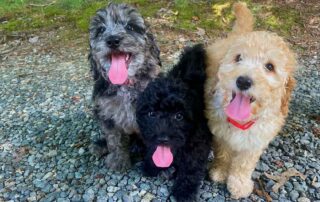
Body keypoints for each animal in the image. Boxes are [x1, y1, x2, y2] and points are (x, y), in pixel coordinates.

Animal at [89, 3, 160, 170]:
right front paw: (118, 160)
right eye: (101, 29)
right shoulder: (107, 114)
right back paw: (100, 146)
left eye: (130, 27)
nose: (112, 40)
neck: (125, 85)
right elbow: (114, 140)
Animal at [136, 44, 212, 200]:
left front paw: (184, 191)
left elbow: (191, 167)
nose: (163, 138)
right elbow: (153, 148)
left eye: (179, 116)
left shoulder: (198, 144)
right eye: (151, 114)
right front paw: (151, 165)